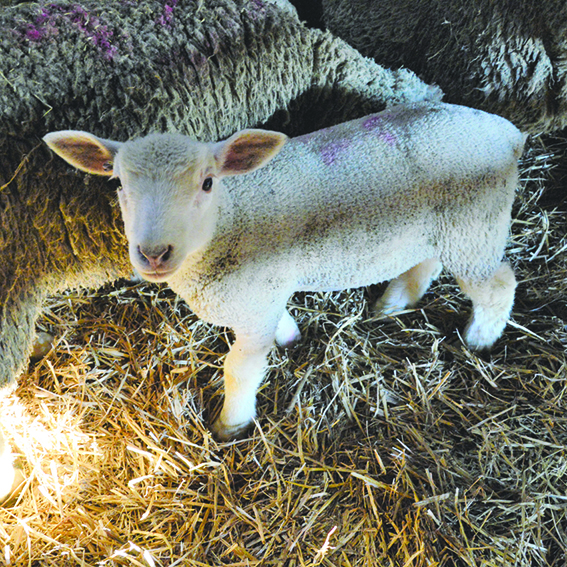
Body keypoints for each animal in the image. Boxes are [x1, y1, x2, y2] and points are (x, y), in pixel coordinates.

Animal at [44, 101, 528, 440]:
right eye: (118, 183)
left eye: (207, 183)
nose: (154, 253)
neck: (229, 222)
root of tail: (509, 131)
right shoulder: (263, 293)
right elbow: (276, 328)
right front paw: (291, 338)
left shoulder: (255, 298)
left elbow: (240, 368)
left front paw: (231, 425)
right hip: (441, 225)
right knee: (428, 261)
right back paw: (394, 303)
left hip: (475, 225)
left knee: (498, 284)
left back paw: (480, 340)